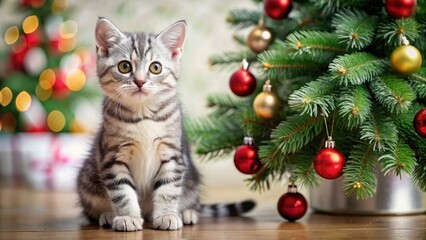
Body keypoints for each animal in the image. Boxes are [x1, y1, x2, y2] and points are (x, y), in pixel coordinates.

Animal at [76, 17, 255, 232]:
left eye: (155, 68)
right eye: (124, 67)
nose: (140, 81)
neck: (143, 115)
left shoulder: (172, 153)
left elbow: (168, 188)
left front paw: (167, 215)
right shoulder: (112, 156)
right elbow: (122, 191)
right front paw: (127, 217)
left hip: (192, 179)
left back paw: (186, 213)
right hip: (87, 179)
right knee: (90, 211)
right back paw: (108, 215)